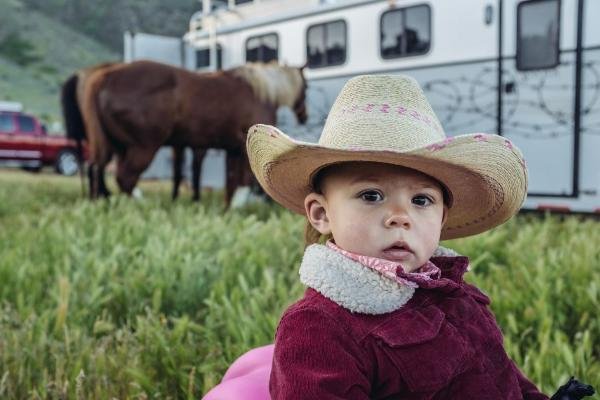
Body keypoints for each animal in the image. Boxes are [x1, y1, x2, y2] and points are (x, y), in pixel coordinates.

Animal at [75, 60, 308, 203]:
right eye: (306, 88)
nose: (304, 117)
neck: (260, 92)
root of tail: (106, 75)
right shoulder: (244, 150)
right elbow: (242, 181)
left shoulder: (233, 150)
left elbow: (231, 182)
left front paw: (229, 209)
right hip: (143, 147)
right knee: (125, 177)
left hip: (115, 146)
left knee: (100, 169)